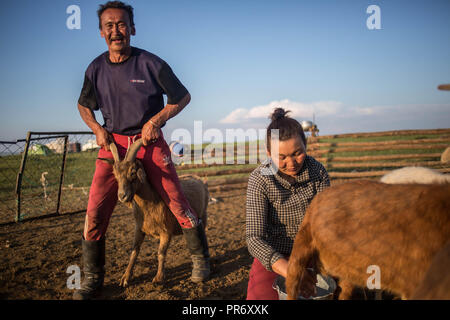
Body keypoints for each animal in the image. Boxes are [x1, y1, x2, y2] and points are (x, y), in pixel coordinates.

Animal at [105, 139, 209, 286]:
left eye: (133, 172)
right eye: (115, 174)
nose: (122, 196)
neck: (150, 204)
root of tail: (198, 179)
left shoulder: (166, 232)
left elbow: (161, 253)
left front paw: (159, 278)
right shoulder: (139, 229)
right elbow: (134, 251)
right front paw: (125, 277)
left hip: (203, 216)